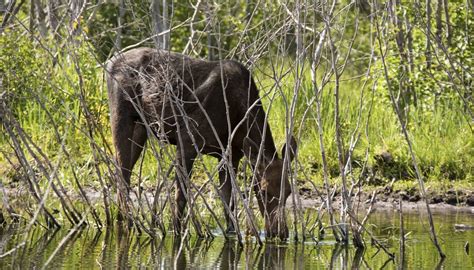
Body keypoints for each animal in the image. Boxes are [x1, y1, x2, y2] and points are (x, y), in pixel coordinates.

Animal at [106, 47, 296, 239]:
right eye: (263, 190)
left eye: (289, 191)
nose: (280, 232)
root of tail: (109, 63)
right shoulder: (186, 140)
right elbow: (181, 196)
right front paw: (177, 231)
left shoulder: (230, 156)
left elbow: (228, 201)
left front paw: (231, 232)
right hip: (121, 117)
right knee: (122, 174)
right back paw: (126, 223)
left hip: (140, 128)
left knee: (124, 175)